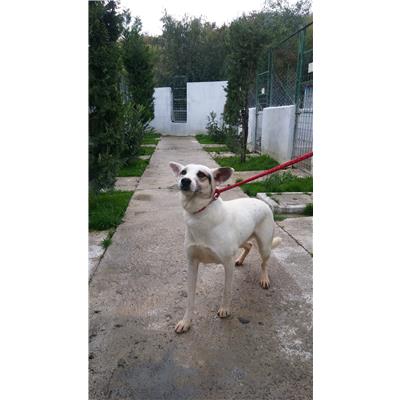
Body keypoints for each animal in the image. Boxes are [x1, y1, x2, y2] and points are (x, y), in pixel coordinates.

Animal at [169, 162, 282, 333]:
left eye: (201, 174)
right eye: (183, 172)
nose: (185, 181)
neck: (200, 215)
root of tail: (262, 202)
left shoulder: (227, 264)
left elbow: (226, 290)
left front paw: (225, 309)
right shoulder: (192, 263)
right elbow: (190, 297)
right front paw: (186, 321)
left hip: (264, 246)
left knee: (264, 262)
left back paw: (264, 279)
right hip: (242, 240)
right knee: (249, 245)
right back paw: (240, 260)